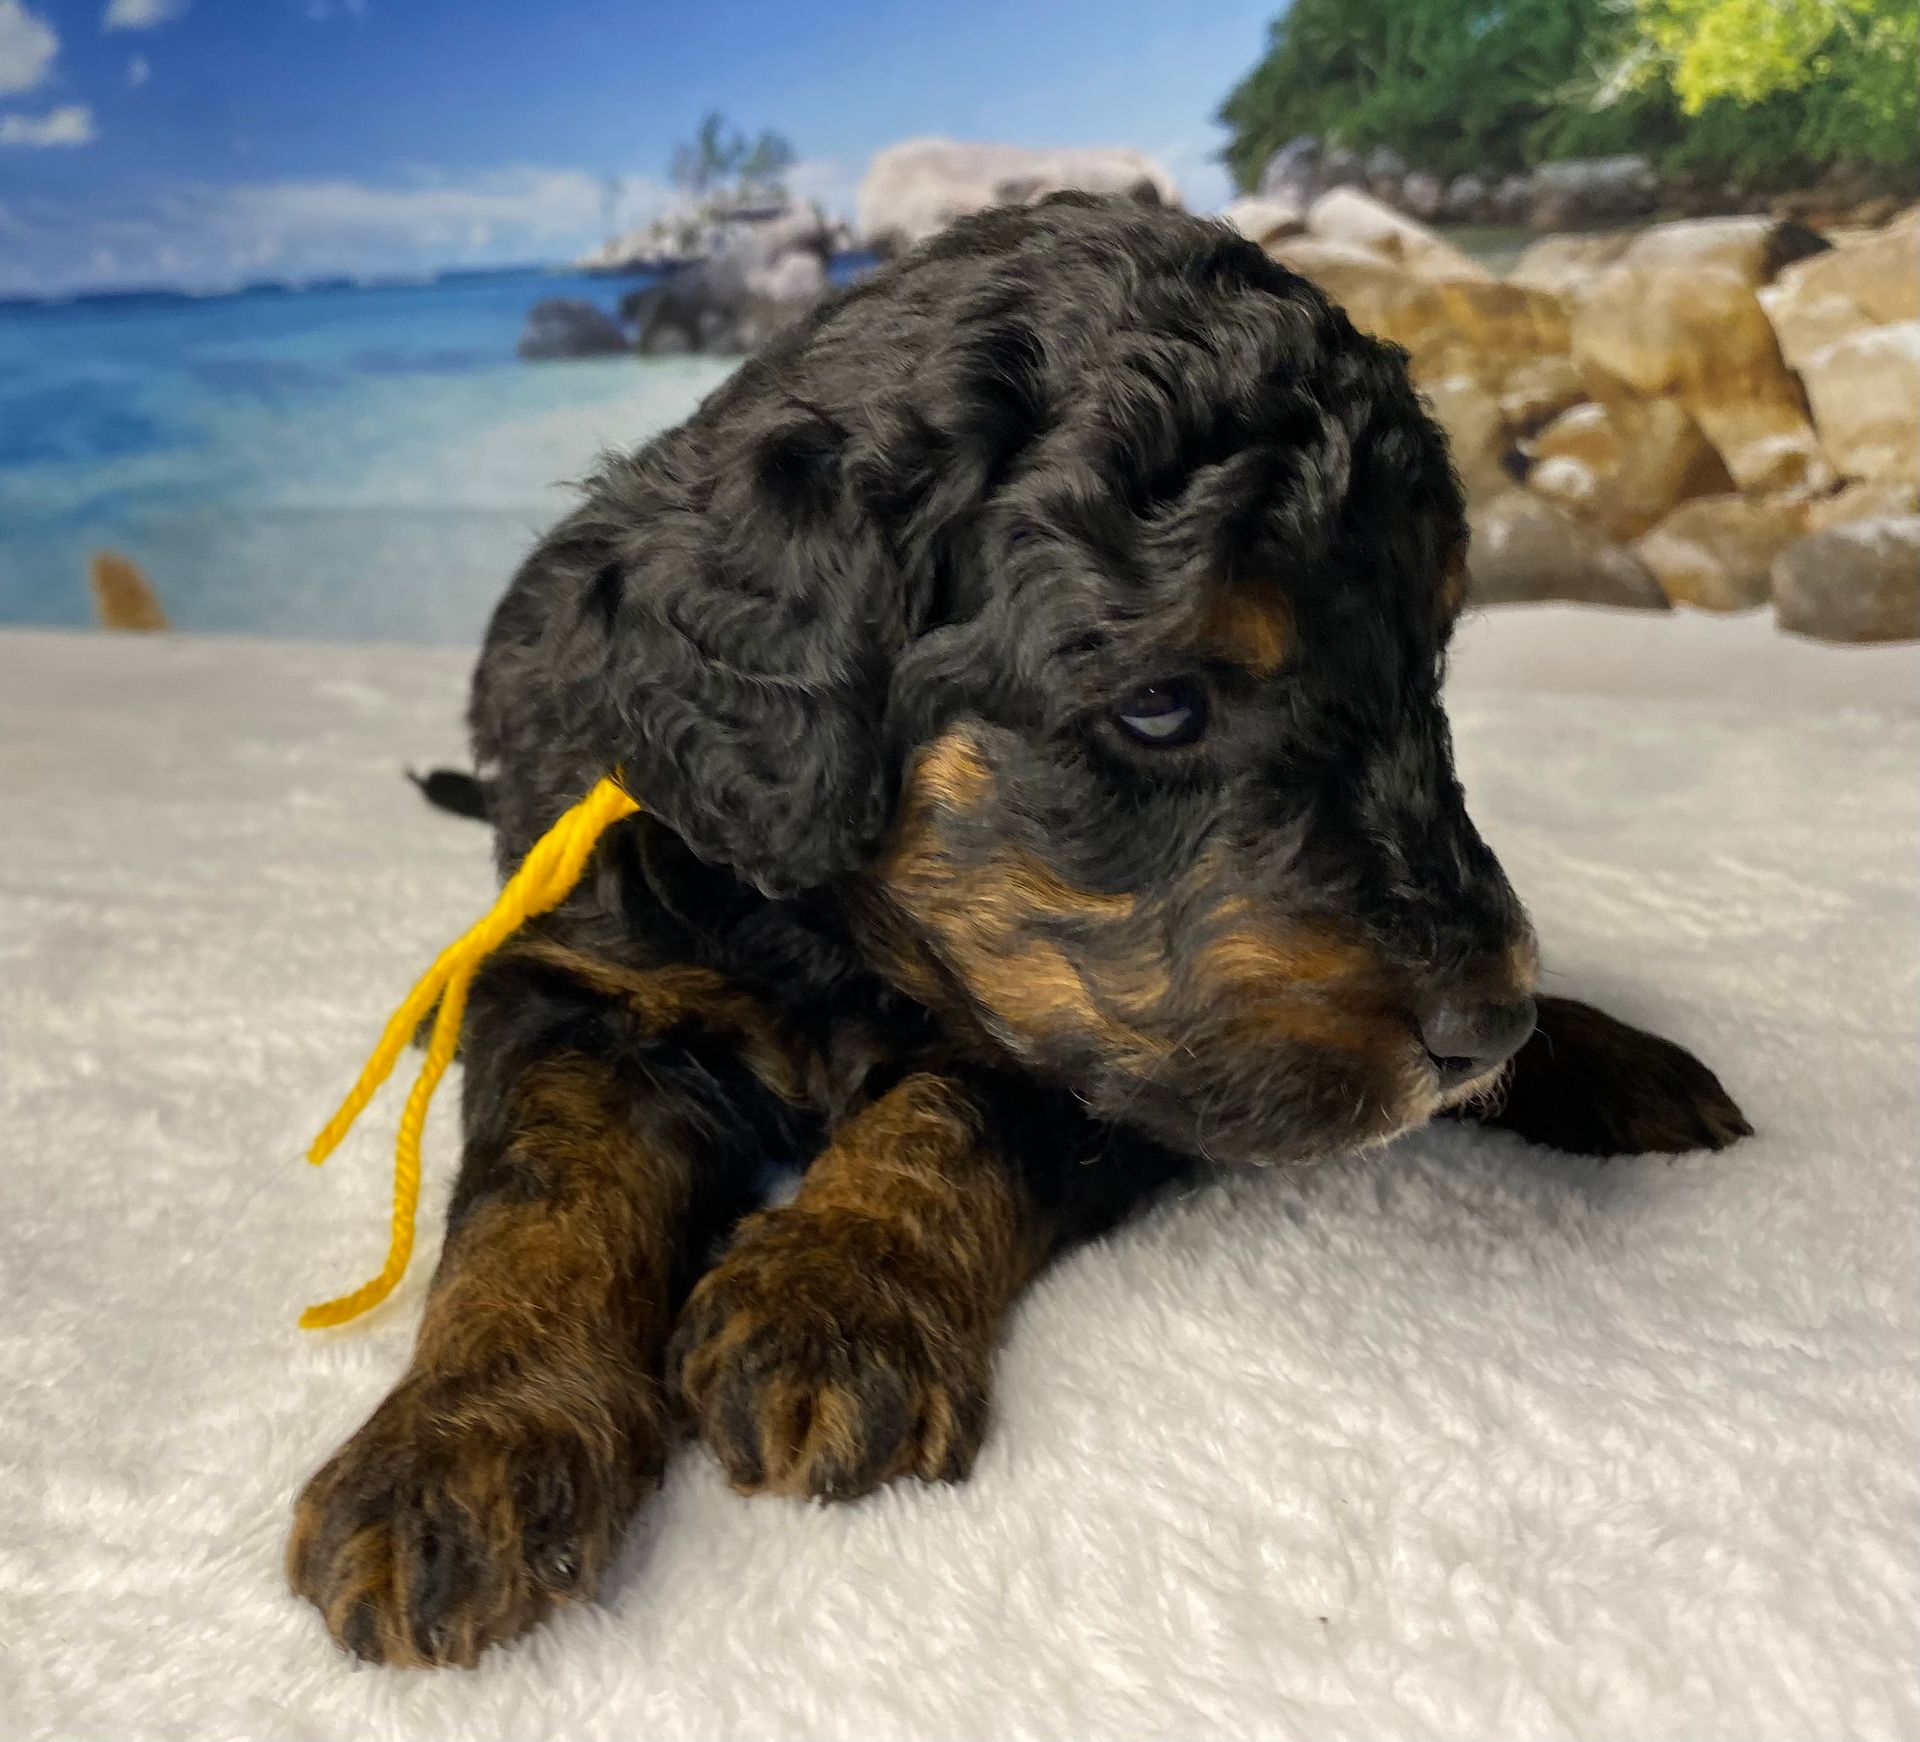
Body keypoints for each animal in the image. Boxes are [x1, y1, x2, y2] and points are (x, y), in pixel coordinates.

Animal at [288, 197, 1758, 1667]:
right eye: (1160, 704)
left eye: (1428, 664)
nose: (1484, 1020)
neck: (834, 933)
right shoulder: (587, 971)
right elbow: (544, 1190)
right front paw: (459, 1450)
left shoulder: (1108, 1040)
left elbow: (958, 1099)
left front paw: (838, 1291)